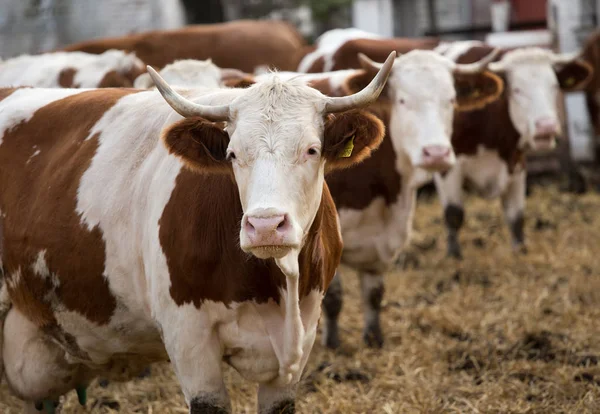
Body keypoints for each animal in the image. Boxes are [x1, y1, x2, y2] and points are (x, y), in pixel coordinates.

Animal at [434, 44, 592, 258]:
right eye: (517, 90)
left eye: (554, 86)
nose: (547, 127)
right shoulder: (448, 167)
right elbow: (454, 214)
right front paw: (454, 256)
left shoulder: (517, 165)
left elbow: (516, 217)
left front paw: (520, 252)